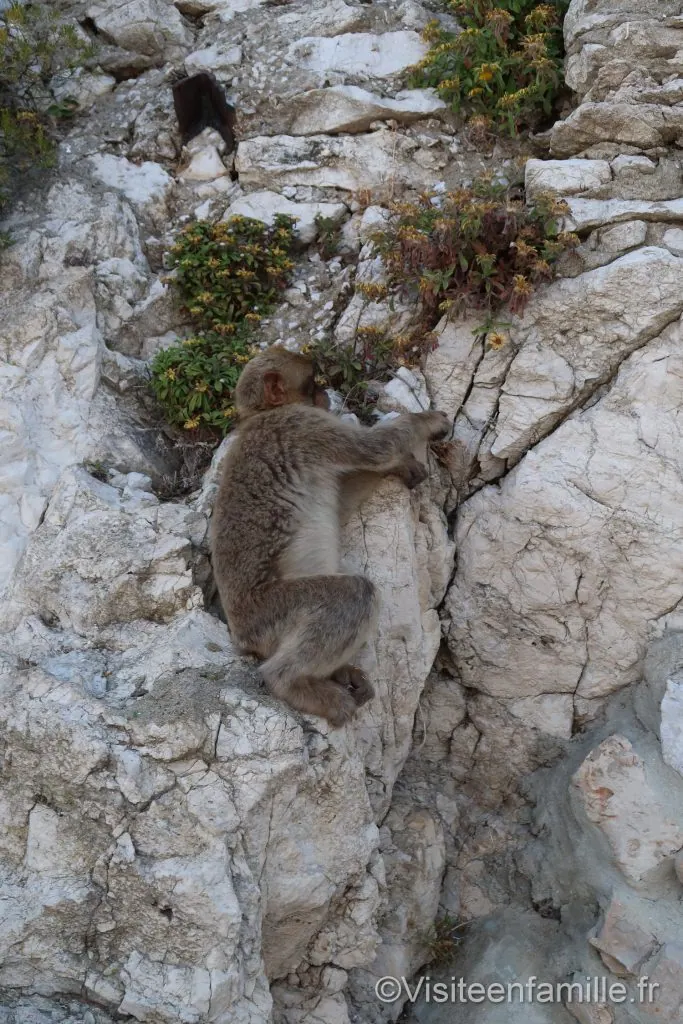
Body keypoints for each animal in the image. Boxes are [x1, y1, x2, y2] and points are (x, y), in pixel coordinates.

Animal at [210, 347, 451, 728]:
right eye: (312, 381)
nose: (325, 394)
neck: (261, 415)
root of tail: (241, 638)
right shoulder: (300, 424)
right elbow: (374, 448)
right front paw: (425, 423)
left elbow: (342, 504)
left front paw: (397, 467)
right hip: (269, 613)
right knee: (353, 594)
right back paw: (291, 683)